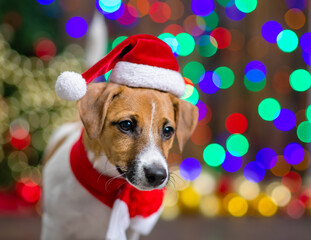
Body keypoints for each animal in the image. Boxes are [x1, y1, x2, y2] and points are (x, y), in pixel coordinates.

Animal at [40, 34, 197, 240]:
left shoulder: (130, 233)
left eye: (168, 130)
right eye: (126, 125)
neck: (106, 186)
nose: (157, 175)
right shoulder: (54, 227)